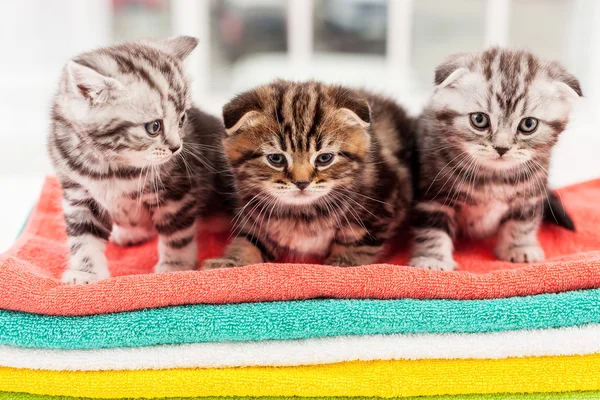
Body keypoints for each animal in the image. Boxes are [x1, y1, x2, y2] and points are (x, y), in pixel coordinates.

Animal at [47, 35, 227, 284]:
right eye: (154, 127)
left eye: (182, 119)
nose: (176, 147)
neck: (113, 165)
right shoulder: (79, 194)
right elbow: (84, 237)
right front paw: (85, 272)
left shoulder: (177, 194)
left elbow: (177, 234)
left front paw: (175, 266)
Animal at [204, 80, 414, 268]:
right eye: (276, 158)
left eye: (325, 158)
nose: (302, 182)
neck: (303, 214)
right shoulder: (257, 218)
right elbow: (248, 241)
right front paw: (231, 262)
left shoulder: (381, 206)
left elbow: (356, 243)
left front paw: (342, 264)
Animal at [410, 48, 580, 270]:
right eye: (479, 119)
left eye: (528, 124)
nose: (502, 148)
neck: (494, 176)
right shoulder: (433, 194)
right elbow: (432, 229)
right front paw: (433, 259)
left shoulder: (530, 194)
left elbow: (522, 223)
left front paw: (519, 247)